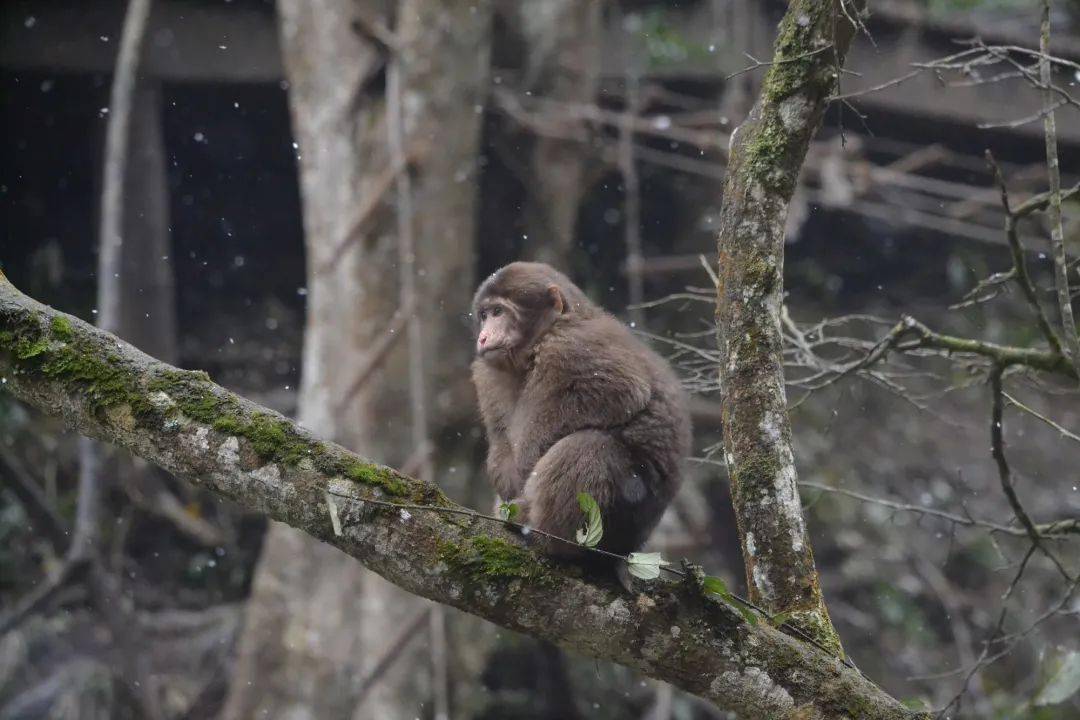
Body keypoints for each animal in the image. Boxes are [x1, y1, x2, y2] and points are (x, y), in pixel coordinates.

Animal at [473, 262, 691, 565]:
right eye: (484, 315)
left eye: (498, 312)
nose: (483, 337)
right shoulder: (486, 376)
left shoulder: (567, 348)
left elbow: (622, 389)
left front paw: (524, 466)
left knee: (589, 446)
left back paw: (544, 535)